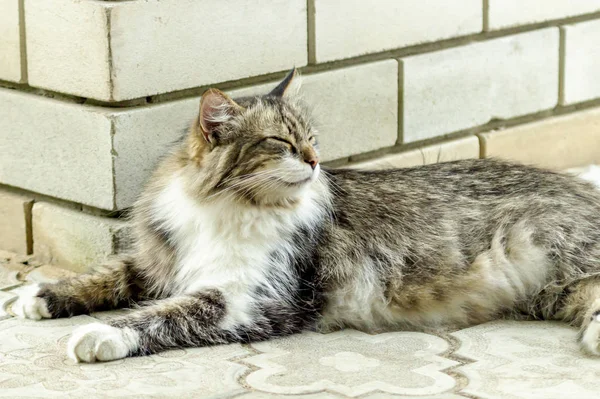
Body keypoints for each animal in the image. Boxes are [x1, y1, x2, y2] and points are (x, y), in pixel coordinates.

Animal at [11, 68, 600, 362]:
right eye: (282, 144)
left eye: (312, 140)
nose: (315, 162)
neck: (223, 209)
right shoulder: (160, 259)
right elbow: (112, 275)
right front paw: (40, 297)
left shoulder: (247, 298)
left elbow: (164, 314)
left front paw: (99, 336)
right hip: (556, 290)